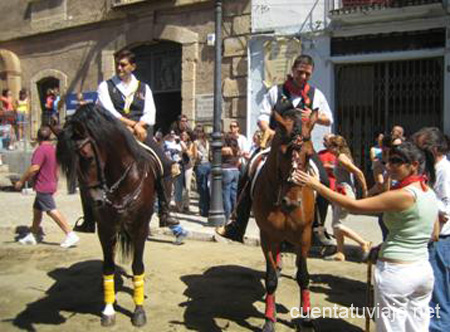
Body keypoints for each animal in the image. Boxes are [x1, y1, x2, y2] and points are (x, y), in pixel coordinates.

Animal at [55, 104, 159, 326]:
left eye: (87, 156)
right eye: (67, 166)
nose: (95, 201)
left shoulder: (140, 227)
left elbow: (138, 266)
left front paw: (138, 311)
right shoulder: (105, 228)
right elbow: (108, 267)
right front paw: (108, 309)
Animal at [251, 107, 318, 330]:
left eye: (309, 155)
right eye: (282, 153)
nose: (291, 202)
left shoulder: (304, 236)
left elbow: (303, 276)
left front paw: (306, 318)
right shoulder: (267, 236)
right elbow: (271, 278)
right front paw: (269, 320)